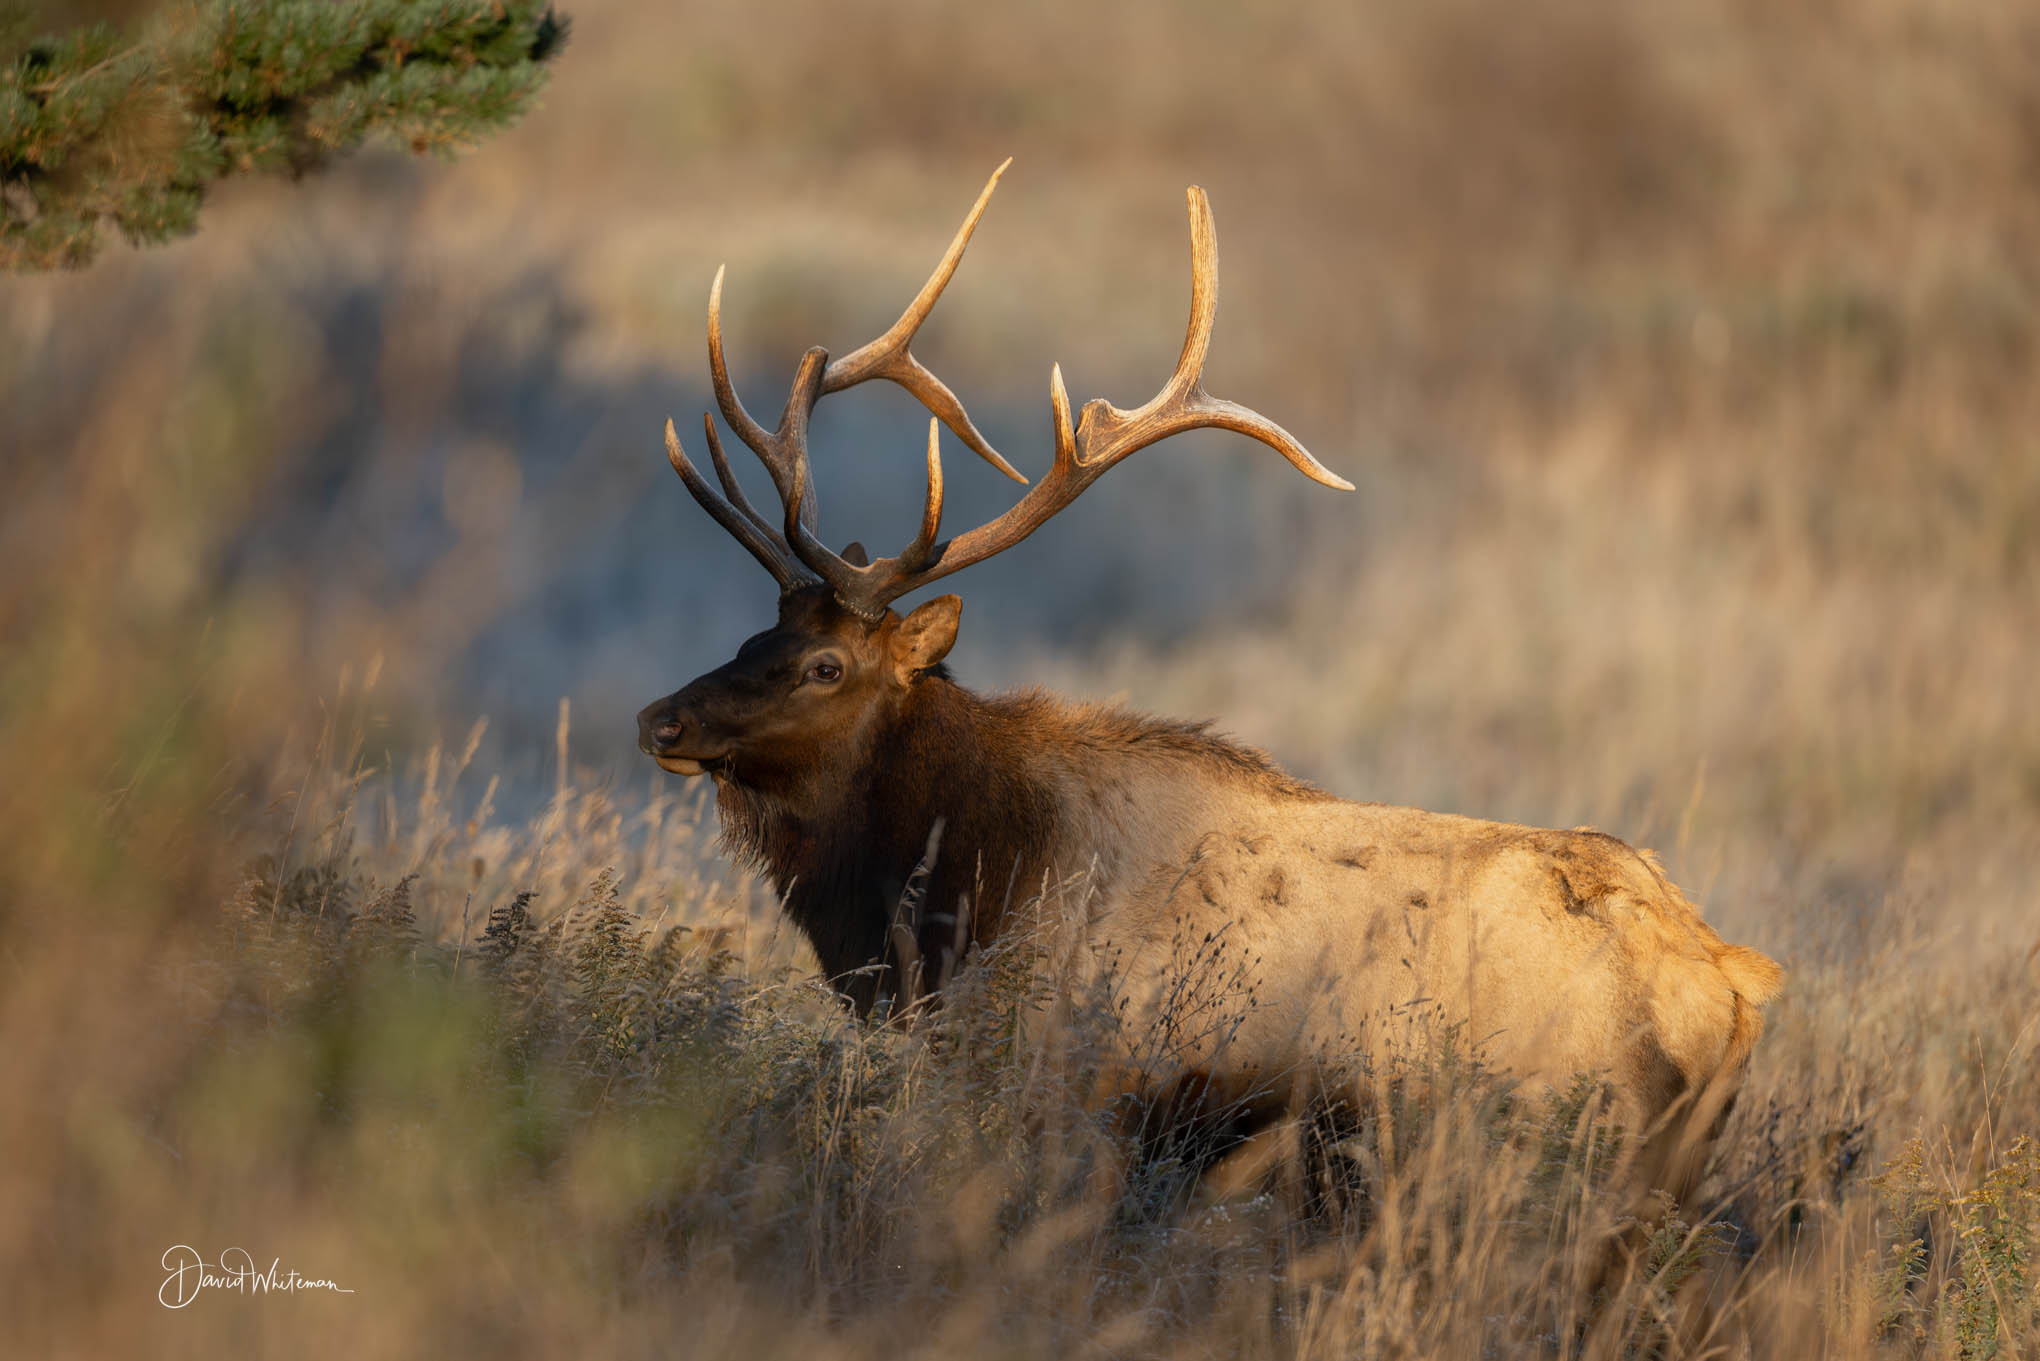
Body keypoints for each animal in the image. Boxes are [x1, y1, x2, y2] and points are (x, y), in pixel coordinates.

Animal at [635, 162, 1783, 1209]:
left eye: (825, 664)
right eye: (757, 629)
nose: (659, 717)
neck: (974, 880)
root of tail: (1732, 981)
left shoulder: (1083, 1088)